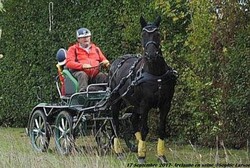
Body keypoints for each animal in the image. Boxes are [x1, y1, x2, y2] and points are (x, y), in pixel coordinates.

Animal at [108, 16, 177, 163]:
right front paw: (141, 156)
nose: (151, 54)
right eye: (143, 35)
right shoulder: (145, 105)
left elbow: (161, 128)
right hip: (116, 101)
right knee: (115, 123)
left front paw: (161, 156)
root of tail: (116, 63)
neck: (156, 75)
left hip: (132, 103)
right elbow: (144, 129)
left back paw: (138, 145)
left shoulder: (166, 104)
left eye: (157, 34)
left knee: (133, 119)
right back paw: (119, 151)